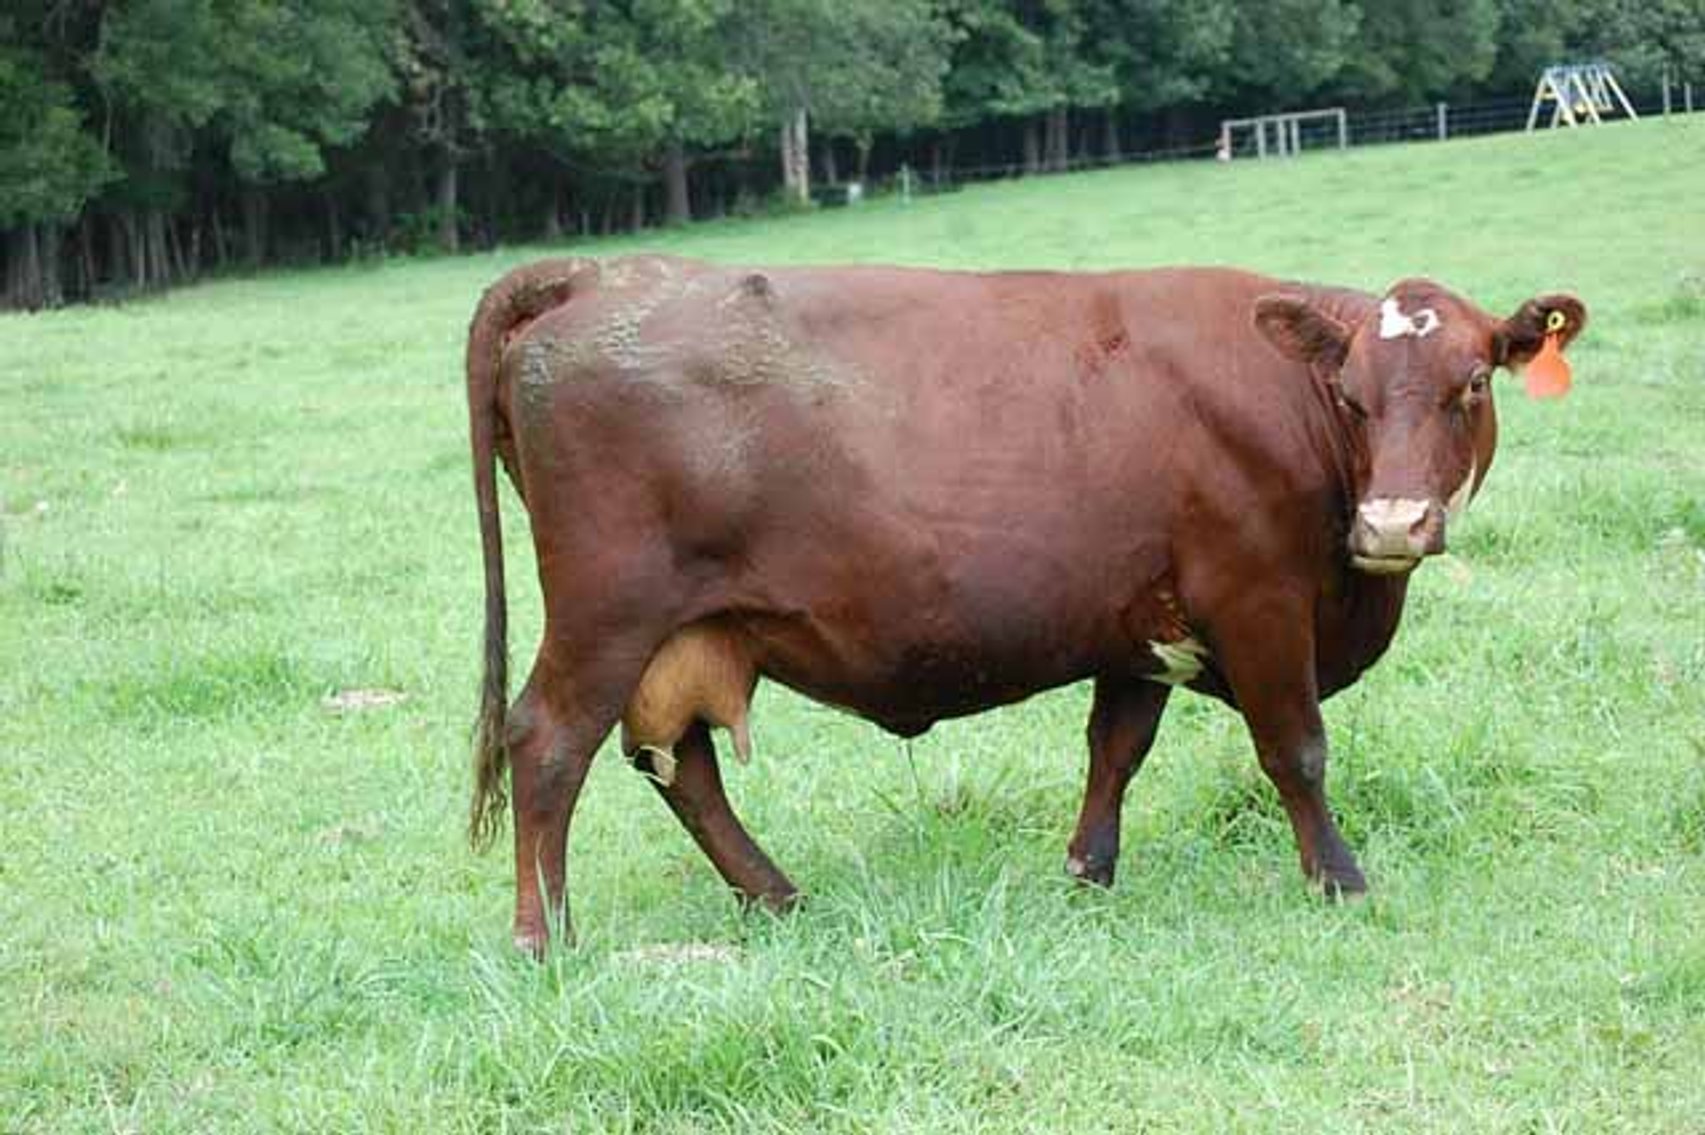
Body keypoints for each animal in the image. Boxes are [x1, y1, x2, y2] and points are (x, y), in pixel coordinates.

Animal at [463, 255, 1584, 955]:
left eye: (1470, 385)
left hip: (680, 632)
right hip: (608, 611)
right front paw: (1340, 880)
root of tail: (601, 272)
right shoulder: (1257, 599)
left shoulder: (1142, 628)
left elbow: (1115, 751)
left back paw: (776, 896)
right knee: (548, 743)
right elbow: (1295, 751)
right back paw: (543, 938)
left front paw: (1087, 873)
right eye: (1352, 396)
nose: (1392, 523)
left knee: (674, 761)